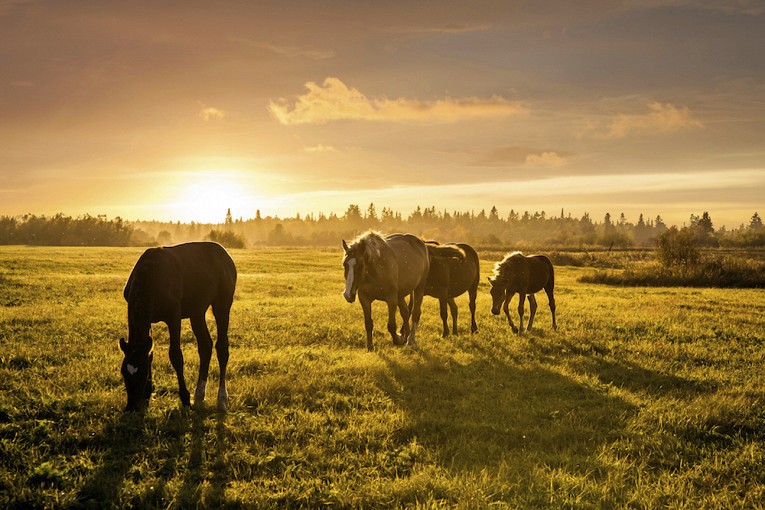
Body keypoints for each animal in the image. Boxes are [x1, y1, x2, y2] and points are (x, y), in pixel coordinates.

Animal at [119, 241, 236, 412]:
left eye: (142, 373)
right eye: (123, 372)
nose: (131, 407)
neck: (151, 275)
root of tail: (225, 255)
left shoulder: (174, 316)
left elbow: (175, 355)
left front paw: (185, 398)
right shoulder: (148, 321)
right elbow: (150, 353)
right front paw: (148, 395)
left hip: (222, 304)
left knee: (222, 347)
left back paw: (221, 399)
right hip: (197, 311)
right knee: (205, 345)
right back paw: (199, 395)